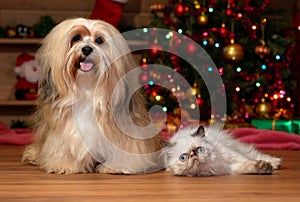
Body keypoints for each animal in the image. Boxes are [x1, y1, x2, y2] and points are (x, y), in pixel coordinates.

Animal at [21, 18, 162, 174]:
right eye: (76, 38)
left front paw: (118, 166)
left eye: (99, 40)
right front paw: (64, 164)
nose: (87, 49)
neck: (88, 91)